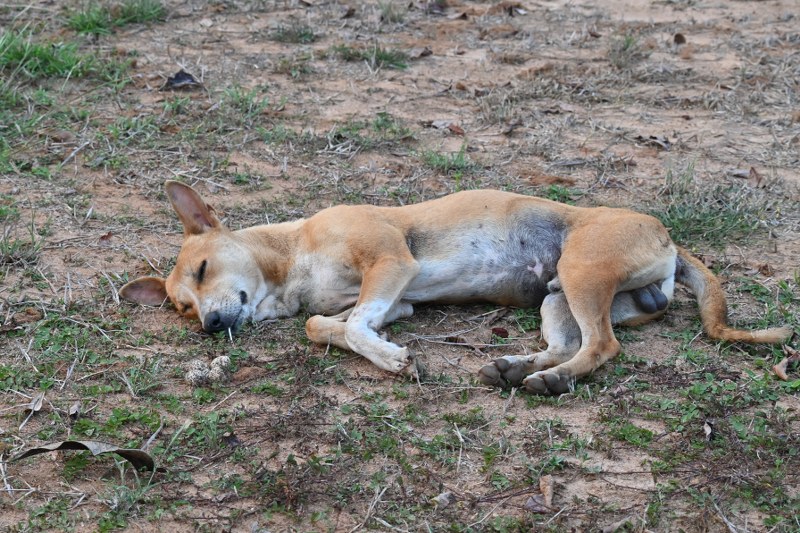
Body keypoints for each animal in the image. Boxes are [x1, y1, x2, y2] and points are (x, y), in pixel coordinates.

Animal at [122, 181, 792, 392]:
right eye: (181, 308)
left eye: (203, 271)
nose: (210, 326)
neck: (291, 259)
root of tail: (668, 237)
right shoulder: (395, 300)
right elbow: (325, 325)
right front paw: (376, 346)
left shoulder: (390, 263)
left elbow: (353, 324)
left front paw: (390, 360)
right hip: (558, 296)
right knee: (570, 342)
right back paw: (518, 369)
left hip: (582, 271)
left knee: (602, 346)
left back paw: (547, 381)